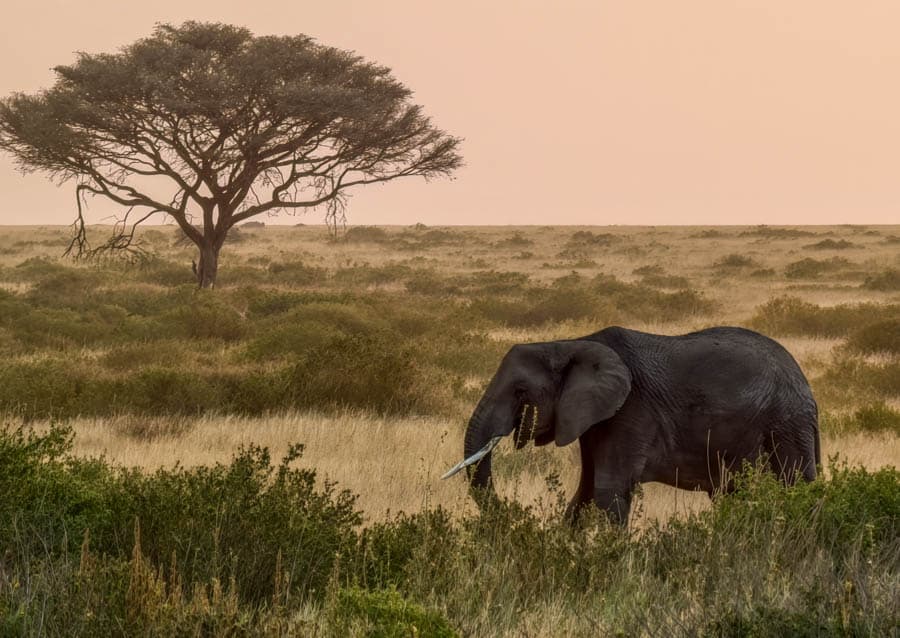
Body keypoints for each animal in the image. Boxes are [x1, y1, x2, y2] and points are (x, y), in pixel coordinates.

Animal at [443, 325, 820, 525]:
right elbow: (585, 491)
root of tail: (803, 379)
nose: (515, 517)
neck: (570, 344)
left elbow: (608, 490)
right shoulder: (594, 418)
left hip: (787, 422)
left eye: (521, 392)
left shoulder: (630, 412)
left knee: (796, 485)